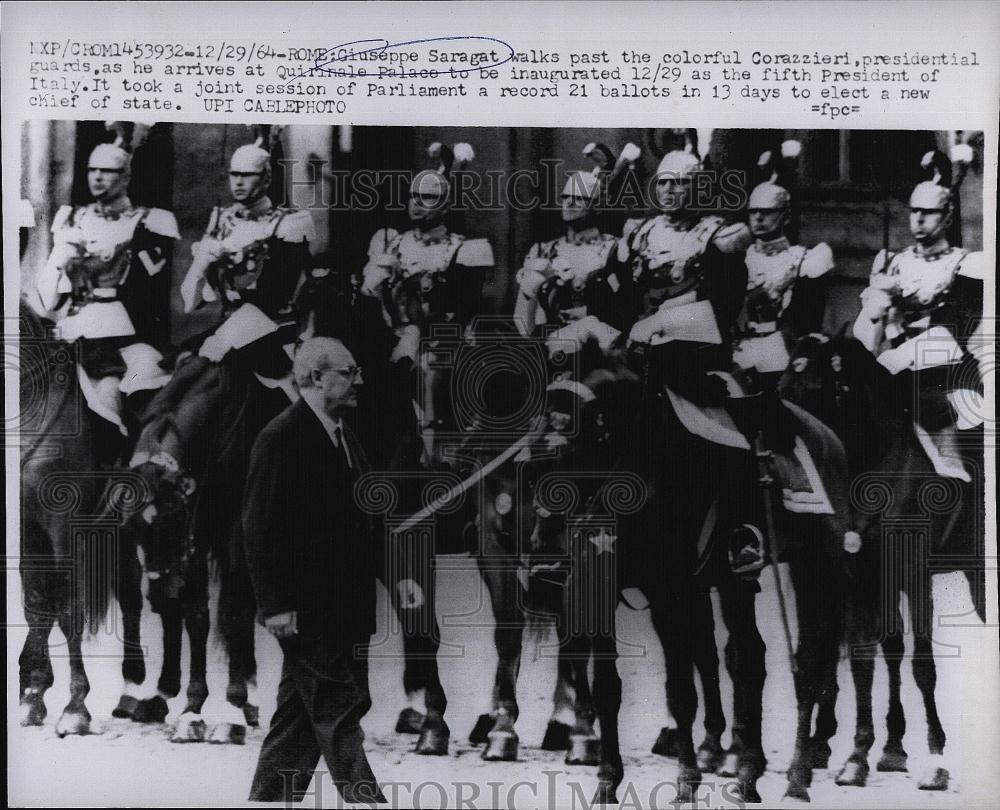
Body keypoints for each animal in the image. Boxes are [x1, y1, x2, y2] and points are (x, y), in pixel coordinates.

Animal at [17, 300, 148, 736]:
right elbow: (37, 604)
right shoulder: (28, 527)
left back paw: (134, 688)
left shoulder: (64, 527)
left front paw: (75, 708)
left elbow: (67, 607)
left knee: (131, 594)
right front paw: (33, 694)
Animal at [780, 332, 984, 788]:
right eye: (784, 386)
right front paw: (859, 755)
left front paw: (935, 759)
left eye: (823, 389)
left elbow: (922, 664)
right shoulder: (855, 575)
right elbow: (862, 658)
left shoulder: (912, 572)